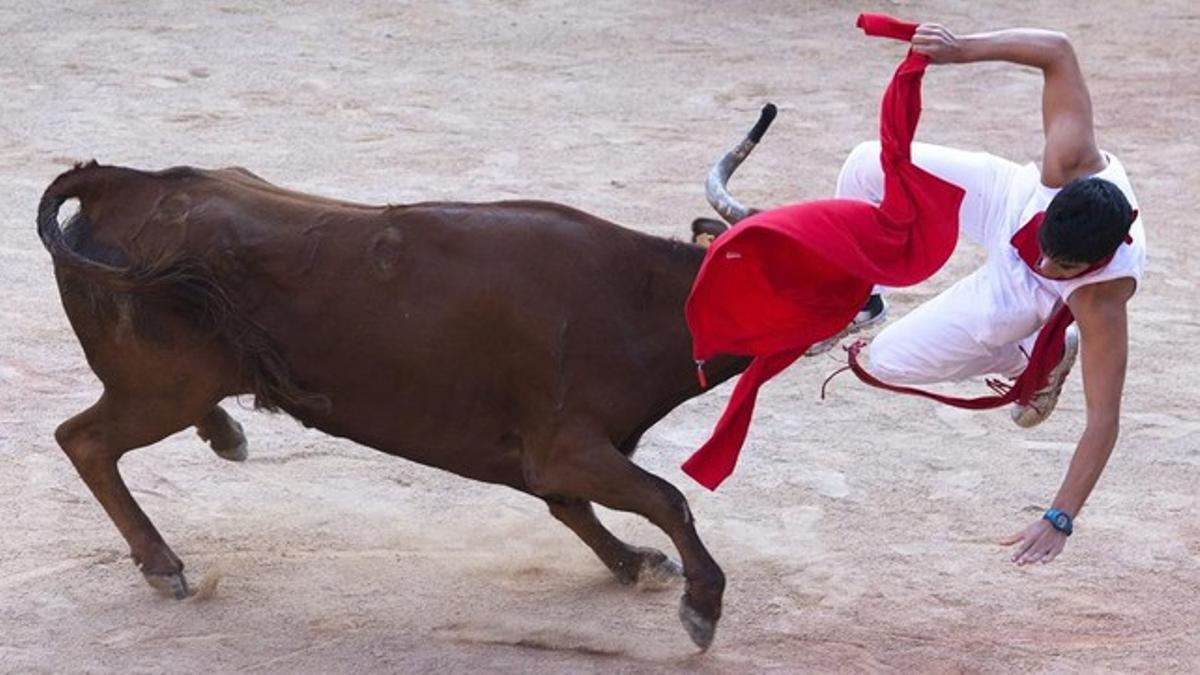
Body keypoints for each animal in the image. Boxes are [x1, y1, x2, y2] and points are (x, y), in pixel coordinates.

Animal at [42, 159, 748, 648]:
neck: (638, 300)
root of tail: (117, 184)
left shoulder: (552, 457)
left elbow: (578, 507)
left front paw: (638, 565)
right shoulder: (566, 447)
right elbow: (665, 498)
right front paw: (701, 607)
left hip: (174, 385)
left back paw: (225, 435)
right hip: (161, 388)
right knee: (84, 440)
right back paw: (163, 566)